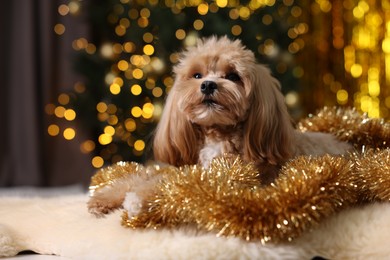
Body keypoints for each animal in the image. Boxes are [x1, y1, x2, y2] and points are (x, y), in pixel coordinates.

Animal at [87, 36, 350, 215]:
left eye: (233, 76)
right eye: (197, 76)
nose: (208, 85)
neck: (217, 135)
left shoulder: (227, 177)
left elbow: (169, 185)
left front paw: (137, 200)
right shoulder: (187, 166)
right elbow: (144, 175)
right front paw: (105, 197)